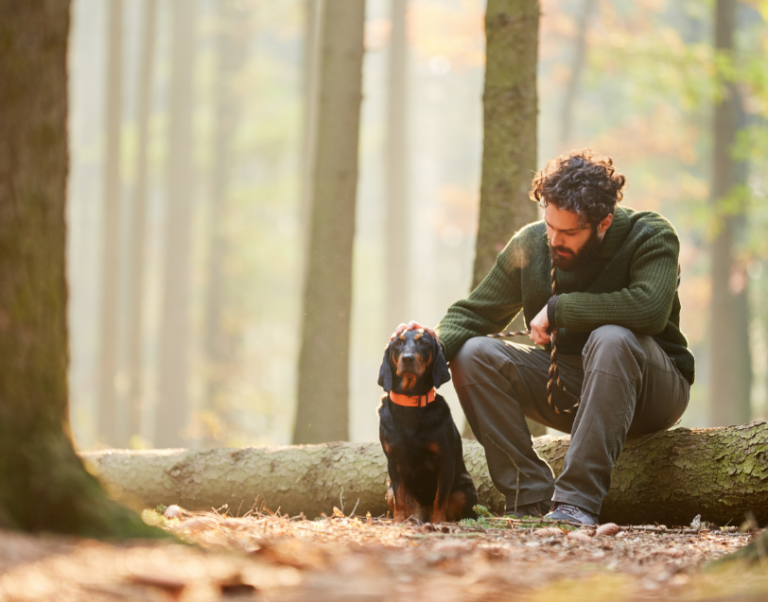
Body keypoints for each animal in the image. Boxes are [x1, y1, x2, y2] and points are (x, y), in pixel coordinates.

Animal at [376, 328, 476, 520]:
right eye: (397, 343)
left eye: (423, 343)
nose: (407, 359)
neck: (411, 403)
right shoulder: (394, 462)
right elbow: (399, 499)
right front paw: (398, 521)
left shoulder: (445, 461)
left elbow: (440, 498)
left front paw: (438, 522)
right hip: (389, 489)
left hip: (465, 490)